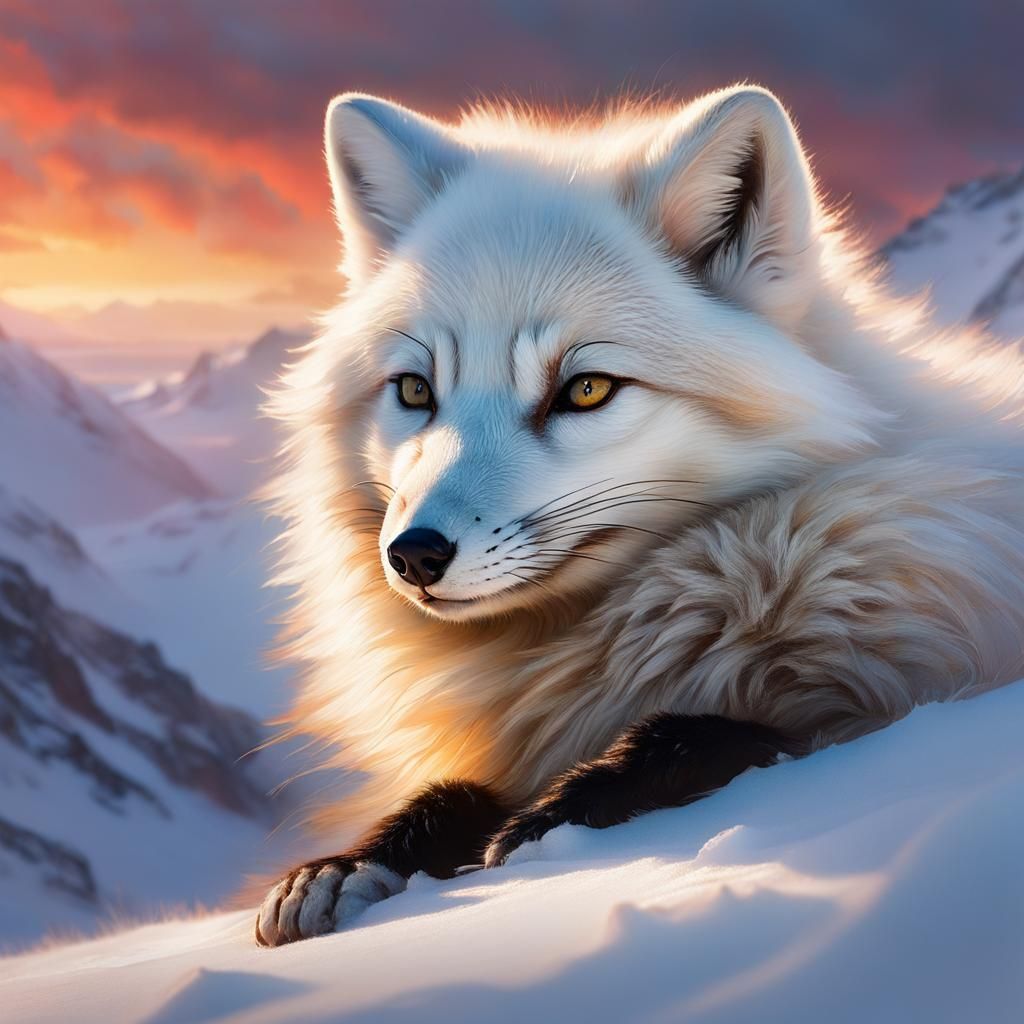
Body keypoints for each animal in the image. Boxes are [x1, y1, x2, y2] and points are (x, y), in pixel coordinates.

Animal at [254, 85, 1024, 946]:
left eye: (586, 389)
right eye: (416, 390)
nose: (414, 555)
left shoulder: (918, 682)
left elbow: (716, 734)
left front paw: (556, 817)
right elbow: (449, 794)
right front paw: (347, 865)